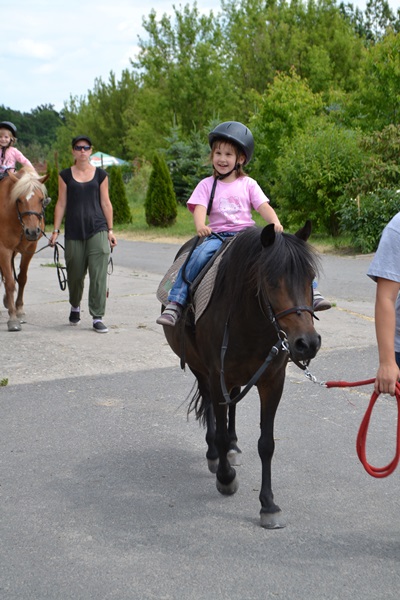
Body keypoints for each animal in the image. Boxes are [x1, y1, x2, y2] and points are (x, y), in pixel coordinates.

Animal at [0, 167, 49, 331]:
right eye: (19, 200)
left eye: (41, 199)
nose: (32, 231)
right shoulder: (4, 249)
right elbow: (10, 282)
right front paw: (13, 318)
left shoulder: (30, 249)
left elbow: (21, 278)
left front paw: (19, 310)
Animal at [160, 222, 321, 528]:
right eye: (271, 281)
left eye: (311, 279)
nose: (307, 343)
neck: (251, 322)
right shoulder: (215, 374)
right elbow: (220, 429)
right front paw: (225, 479)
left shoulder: (273, 381)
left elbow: (266, 444)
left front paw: (268, 505)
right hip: (202, 371)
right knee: (212, 408)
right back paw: (215, 455)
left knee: (231, 405)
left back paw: (233, 448)